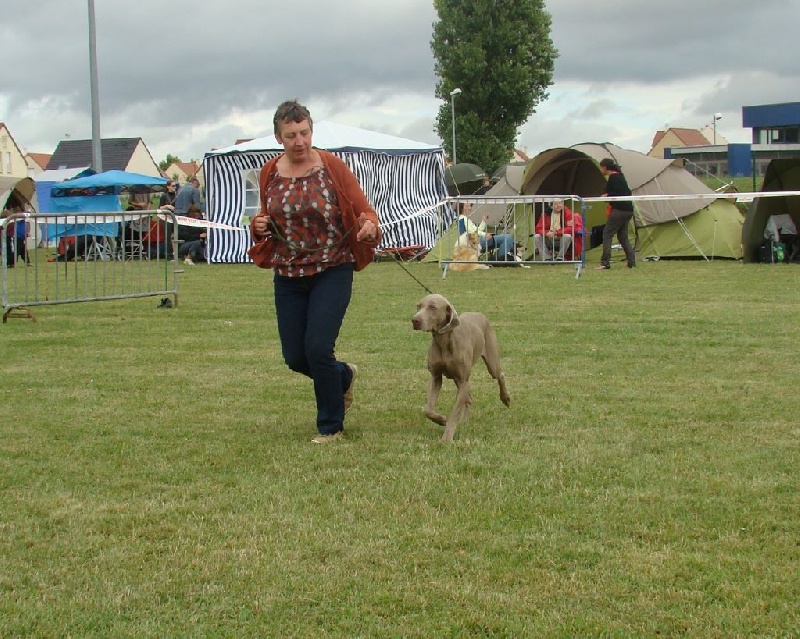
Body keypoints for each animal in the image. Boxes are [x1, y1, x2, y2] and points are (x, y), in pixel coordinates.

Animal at [412, 294, 512, 440]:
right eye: (418, 306)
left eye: (433, 307)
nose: (414, 320)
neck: (444, 342)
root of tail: (479, 314)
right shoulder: (435, 376)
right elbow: (428, 409)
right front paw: (441, 420)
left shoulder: (463, 380)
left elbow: (455, 412)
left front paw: (447, 437)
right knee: (469, 399)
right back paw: (464, 421)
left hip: (491, 363)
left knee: (500, 375)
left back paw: (506, 398)